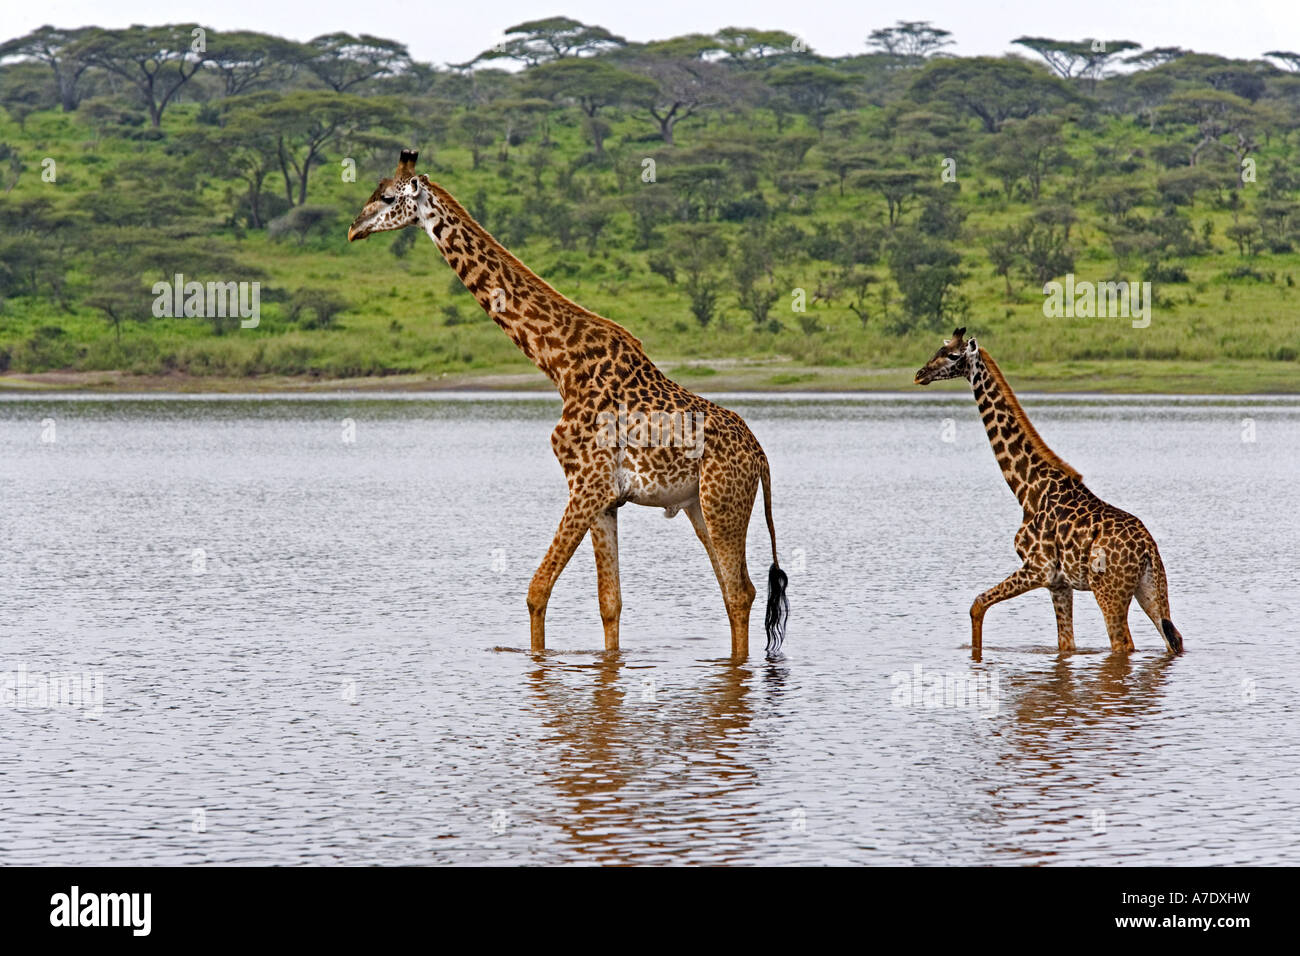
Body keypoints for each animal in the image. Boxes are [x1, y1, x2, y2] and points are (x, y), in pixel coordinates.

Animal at [348, 151, 790, 658]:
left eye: (386, 197)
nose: (353, 229)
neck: (559, 363)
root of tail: (761, 457)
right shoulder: (605, 499)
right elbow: (609, 603)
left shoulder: (587, 483)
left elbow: (537, 589)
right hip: (700, 507)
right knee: (735, 591)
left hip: (723, 502)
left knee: (739, 591)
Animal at [920, 327, 1185, 658]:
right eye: (938, 349)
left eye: (953, 355)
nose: (920, 374)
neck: (1026, 488)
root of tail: (1148, 546)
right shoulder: (1059, 584)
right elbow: (1065, 645)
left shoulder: (1038, 569)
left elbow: (977, 603)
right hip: (1149, 587)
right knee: (1173, 638)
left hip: (1109, 590)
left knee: (1123, 643)